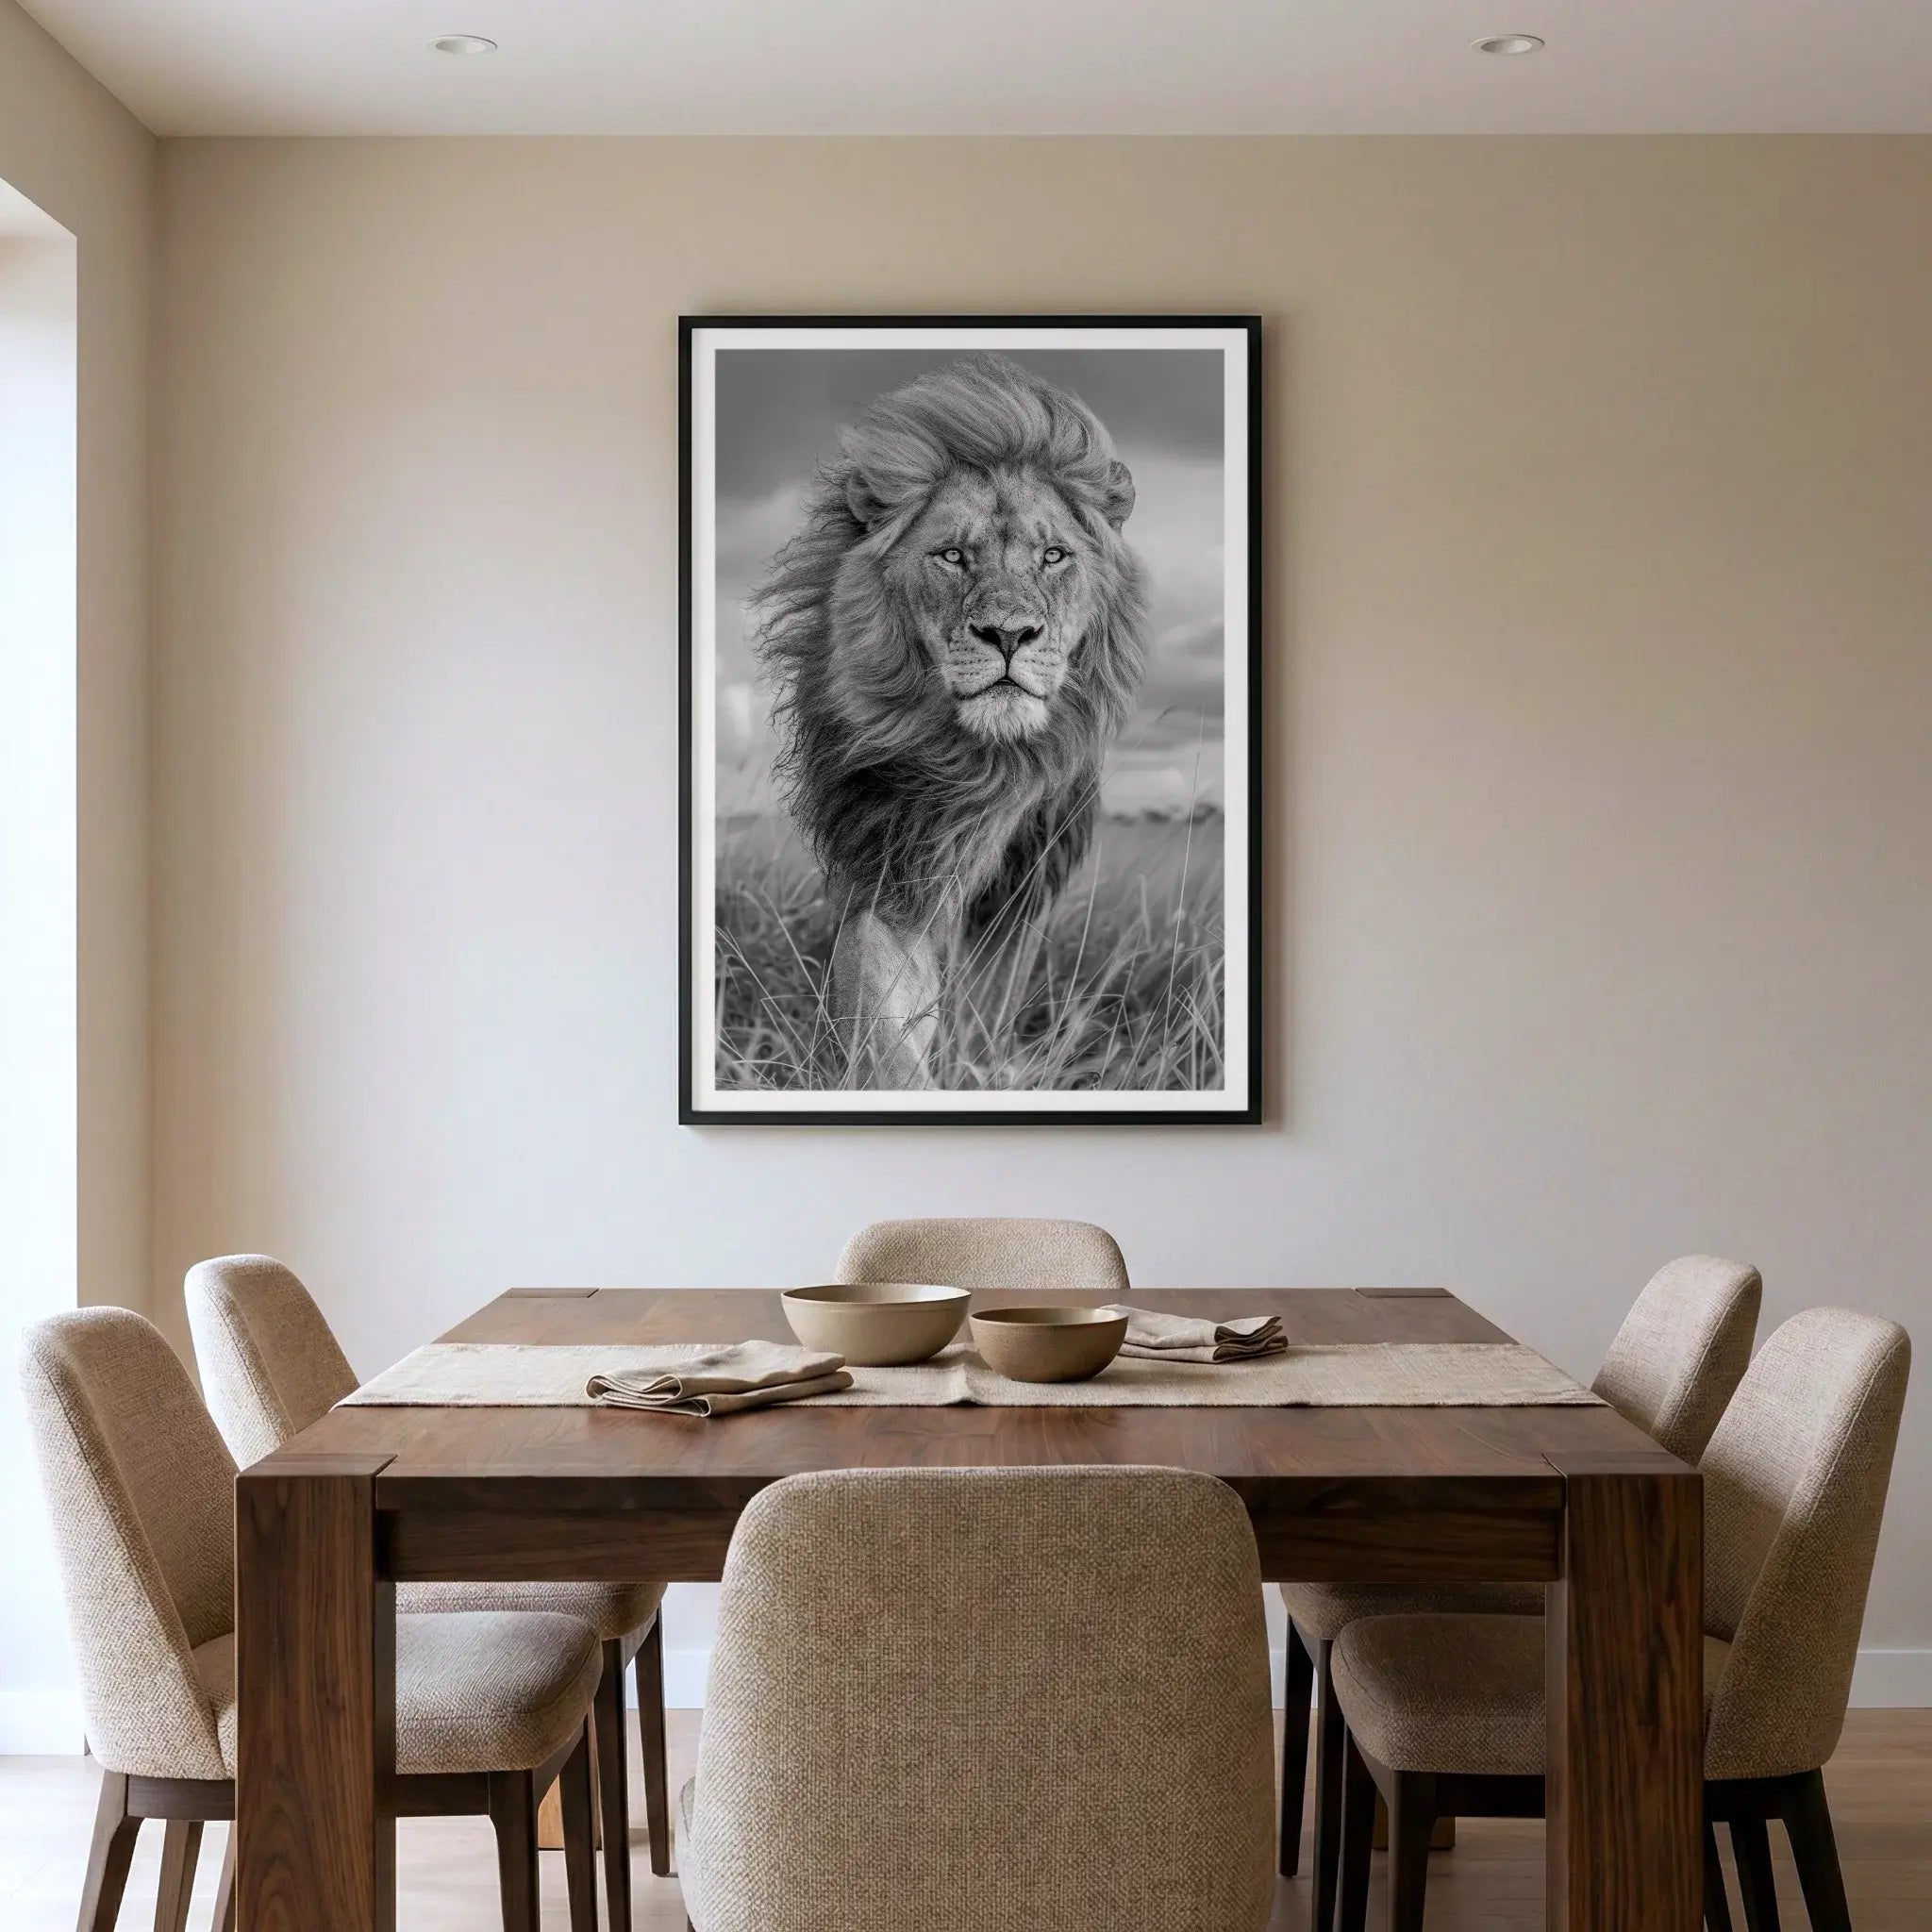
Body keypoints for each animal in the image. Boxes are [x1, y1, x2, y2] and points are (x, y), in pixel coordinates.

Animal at [749, 353, 1150, 1089]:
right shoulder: (888, 864)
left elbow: (985, 1007)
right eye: (953, 556)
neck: (972, 762)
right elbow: (880, 1019)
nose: (1009, 634)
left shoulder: (1021, 884)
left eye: (1053, 556)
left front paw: (981, 1070)